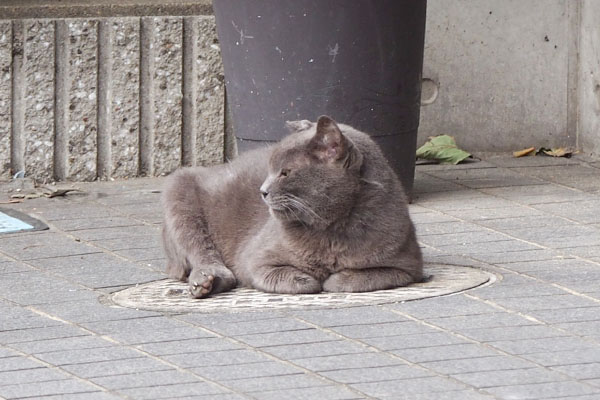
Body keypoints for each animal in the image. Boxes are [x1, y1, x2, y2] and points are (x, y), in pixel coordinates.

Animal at [159, 115, 422, 296]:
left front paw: (334, 279)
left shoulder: (406, 265)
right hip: (180, 191)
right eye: (270, 170)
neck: (333, 231)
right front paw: (313, 279)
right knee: (204, 256)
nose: (262, 190)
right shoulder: (255, 260)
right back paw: (205, 280)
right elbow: (293, 279)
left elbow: (363, 278)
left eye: (285, 173)